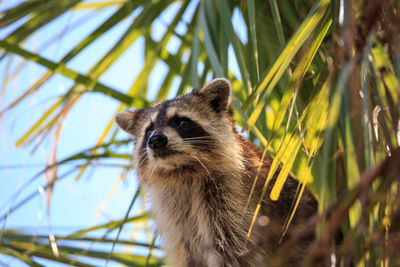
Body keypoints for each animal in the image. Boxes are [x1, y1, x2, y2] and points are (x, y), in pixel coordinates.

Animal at [115, 78, 318, 266]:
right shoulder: (173, 214)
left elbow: (232, 249)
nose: (156, 140)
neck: (184, 172)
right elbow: (187, 251)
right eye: (149, 130)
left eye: (182, 122)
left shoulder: (233, 197)